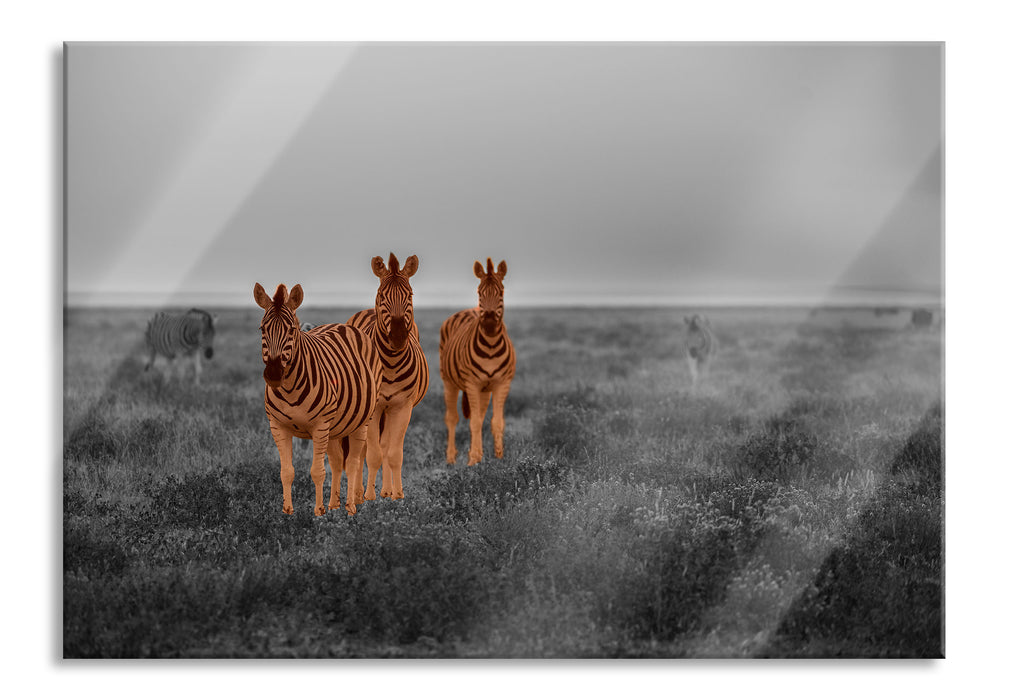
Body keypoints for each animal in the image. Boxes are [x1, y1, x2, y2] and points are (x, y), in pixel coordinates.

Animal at [254, 282, 382, 516]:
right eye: (262, 329)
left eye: (292, 330)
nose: (274, 374)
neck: (289, 389)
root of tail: (343, 325)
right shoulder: (277, 426)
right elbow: (286, 471)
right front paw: (287, 511)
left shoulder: (320, 426)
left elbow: (317, 471)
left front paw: (319, 512)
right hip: (335, 427)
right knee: (338, 462)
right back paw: (334, 505)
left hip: (361, 421)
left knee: (353, 462)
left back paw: (350, 507)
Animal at [347, 253, 430, 501]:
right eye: (382, 296)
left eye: (410, 295)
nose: (398, 338)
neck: (391, 364)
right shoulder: (374, 408)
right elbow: (372, 453)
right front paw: (368, 496)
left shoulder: (402, 407)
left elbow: (393, 453)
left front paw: (397, 494)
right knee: (363, 449)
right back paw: (358, 493)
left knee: (384, 446)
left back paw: (385, 489)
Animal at [439, 258, 516, 466]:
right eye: (479, 292)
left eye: (501, 292)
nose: (489, 324)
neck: (490, 346)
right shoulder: (472, 384)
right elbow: (473, 422)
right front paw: (473, 460)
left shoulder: (501, 383)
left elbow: (496, 422)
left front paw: (499, 458)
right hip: (449, 382)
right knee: (452, 418)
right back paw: (451, 458)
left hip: (485, 390)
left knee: (480, 417)